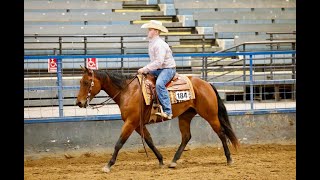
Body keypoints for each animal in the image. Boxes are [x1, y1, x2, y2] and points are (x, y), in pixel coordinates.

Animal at [75, 66, 240, 173]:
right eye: (80, 82)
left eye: (86, 82)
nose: (79, 103)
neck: (127, 91)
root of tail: (207, 84)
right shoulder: (138, 124)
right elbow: (149, 141)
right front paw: (160, 160)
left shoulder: (130, 122)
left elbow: (119, 143)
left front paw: (108, 165)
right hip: (185, 116)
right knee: (186, 137)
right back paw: (173, 162)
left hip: (210, 115)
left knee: (221, 133)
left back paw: (229, 159)